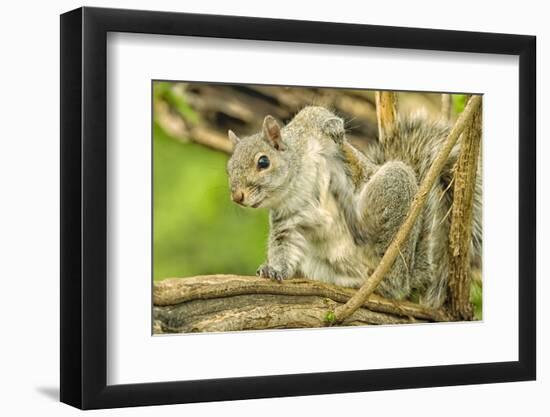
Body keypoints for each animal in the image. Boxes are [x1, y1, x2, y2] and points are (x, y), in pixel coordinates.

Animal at [226, 105, 480, 306]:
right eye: (229, 169)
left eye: (263, 162)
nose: (237, 196)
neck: (295, 182)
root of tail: (410, 275)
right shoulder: (287, 218)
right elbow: (284, 245)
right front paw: (274, 269)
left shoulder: (308, 128)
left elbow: (316, 113)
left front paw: (334, 127)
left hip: (393, 190)